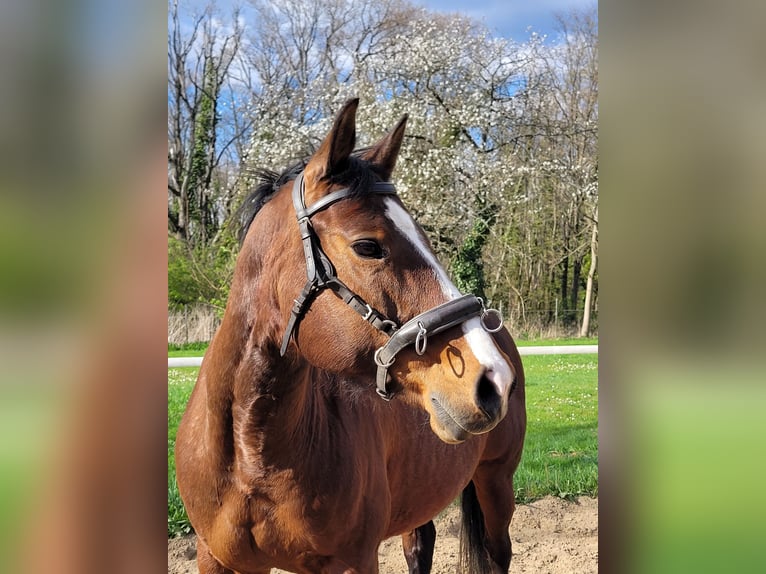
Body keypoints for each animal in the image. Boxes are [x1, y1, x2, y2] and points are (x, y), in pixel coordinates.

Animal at [175, 98, 526, 574]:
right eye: (367, 246)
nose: (492, 380)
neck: (250, 453)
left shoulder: (352, 560)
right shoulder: (216, 558)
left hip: (496, 483)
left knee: (496, 550)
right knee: (420, 544)